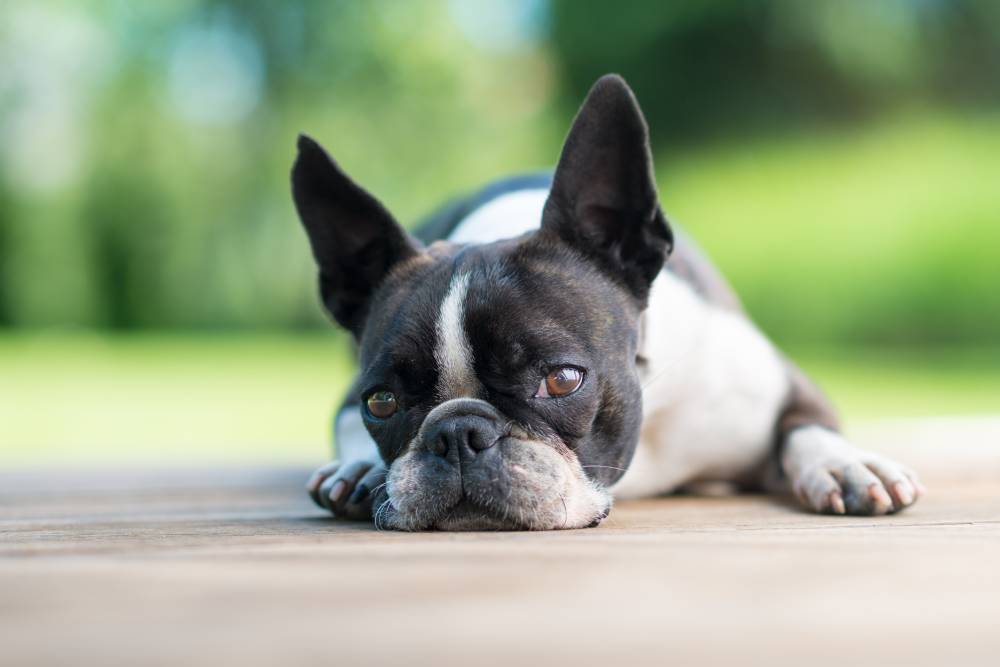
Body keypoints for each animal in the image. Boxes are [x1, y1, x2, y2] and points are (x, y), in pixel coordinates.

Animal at [290, 74, 920, 532]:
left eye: (563, 380)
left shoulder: (773, 385)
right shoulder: (350, 397)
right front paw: (361, 465)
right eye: (382, 402)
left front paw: (845, 463)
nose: (457, 434)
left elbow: (805, 426)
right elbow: (345, 424)